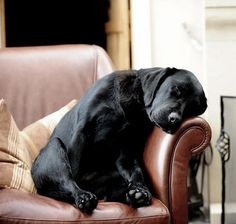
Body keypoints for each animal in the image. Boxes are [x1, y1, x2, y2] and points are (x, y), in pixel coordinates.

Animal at [31, 67, 206, 214]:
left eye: (191, 109)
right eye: (176, 90)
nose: (174, 120)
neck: (133, 107)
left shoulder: (126, 152)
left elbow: (136, 172)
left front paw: (140, 191)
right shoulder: (81, 131)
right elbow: (73, 170)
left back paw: (134, 195)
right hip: (54, 147)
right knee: (67, 180)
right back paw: (83, 197)